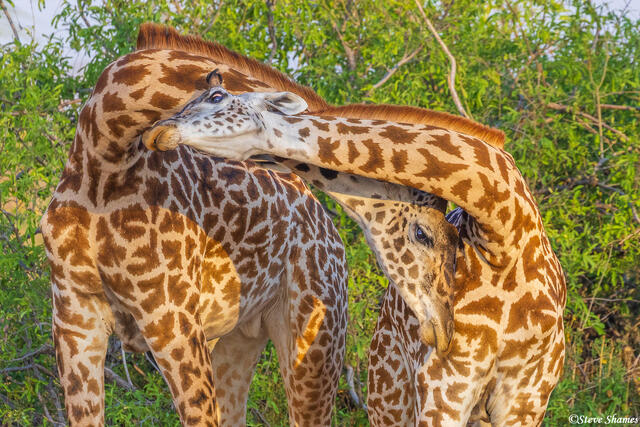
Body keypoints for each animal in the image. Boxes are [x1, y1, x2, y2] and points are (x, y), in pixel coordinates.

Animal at [40, 24, 353, 426]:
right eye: (216, 96)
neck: (100, 169)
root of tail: (330, 230)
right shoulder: (74, 319)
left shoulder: (172, 320)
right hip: (239, 338)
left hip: (314, 339)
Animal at [143, 86, 567, 426]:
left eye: (216, 97)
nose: (158, 130)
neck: (508, 239)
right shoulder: (447, 386)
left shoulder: (527, 396)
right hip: (388, 388)